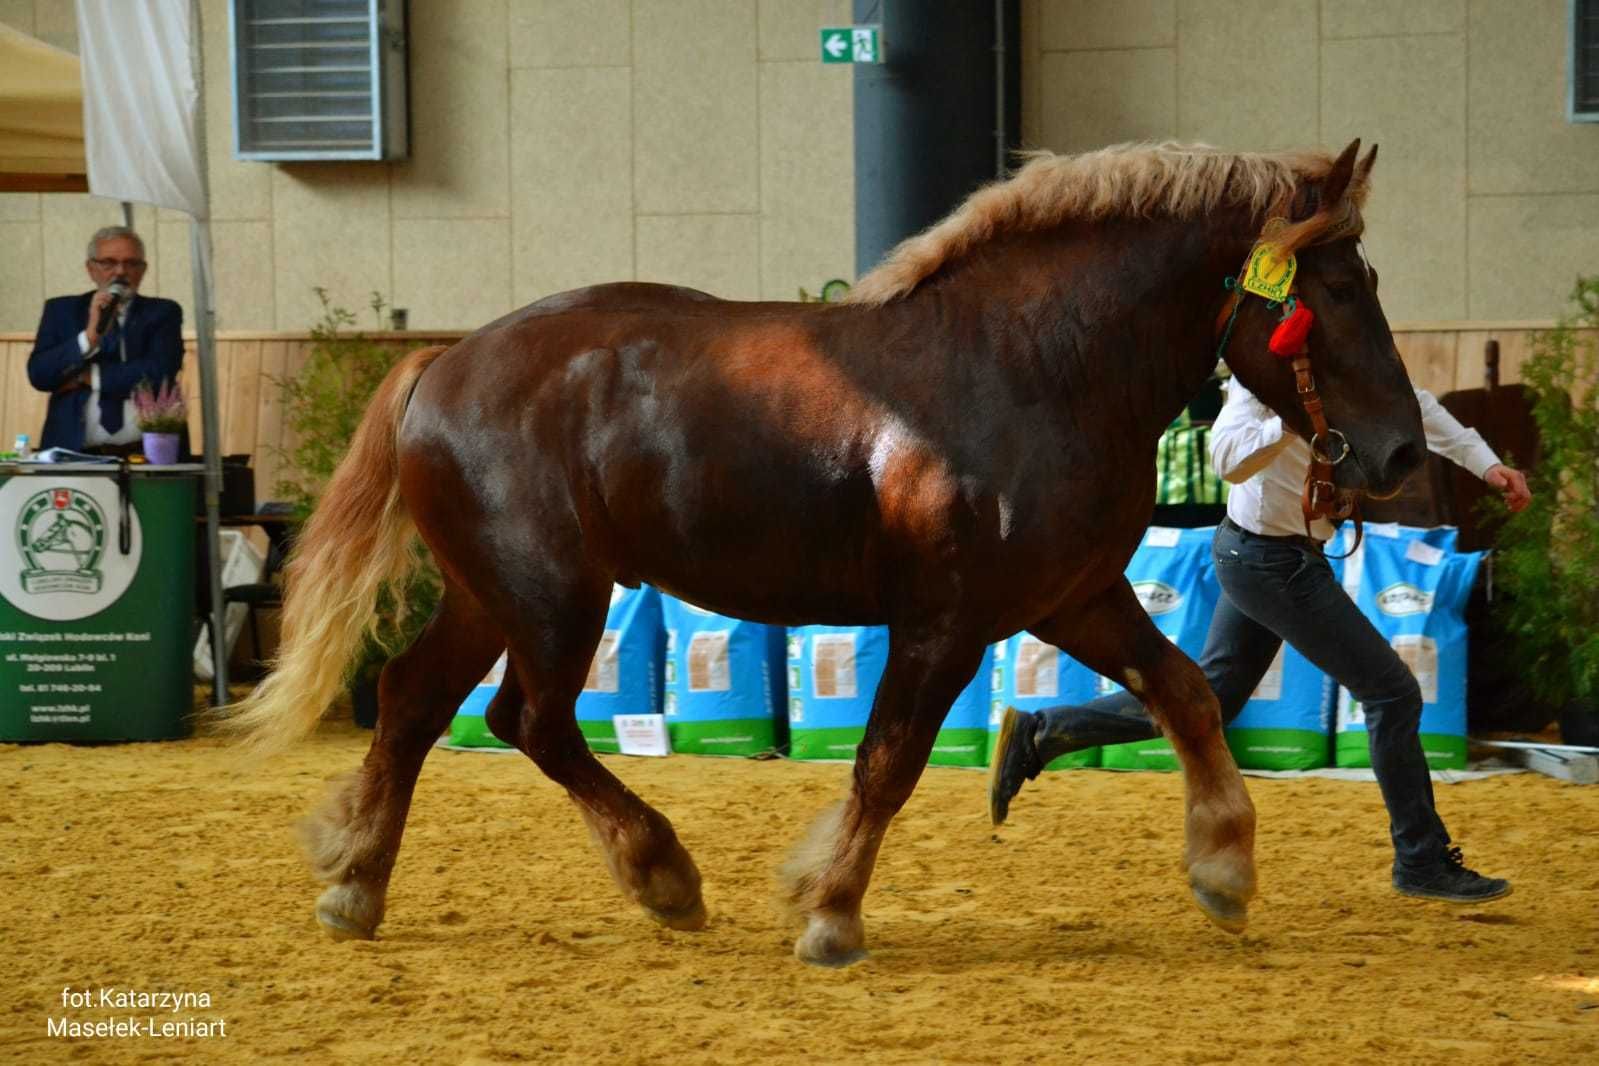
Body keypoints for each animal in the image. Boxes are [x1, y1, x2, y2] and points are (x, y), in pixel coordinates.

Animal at [228, 139, 1426, 965]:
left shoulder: (1075, 596)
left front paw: (1222, 865)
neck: (1030, 366)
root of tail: (439, 364)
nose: (1403, 450)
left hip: (493, 596)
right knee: (527, 720)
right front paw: (831, 911)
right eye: (1337, 289)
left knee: (413, 702)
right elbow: (887, 762)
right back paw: (661, 873)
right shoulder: (945, 622)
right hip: (553, 599)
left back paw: (357, 884)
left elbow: (1184, 693)